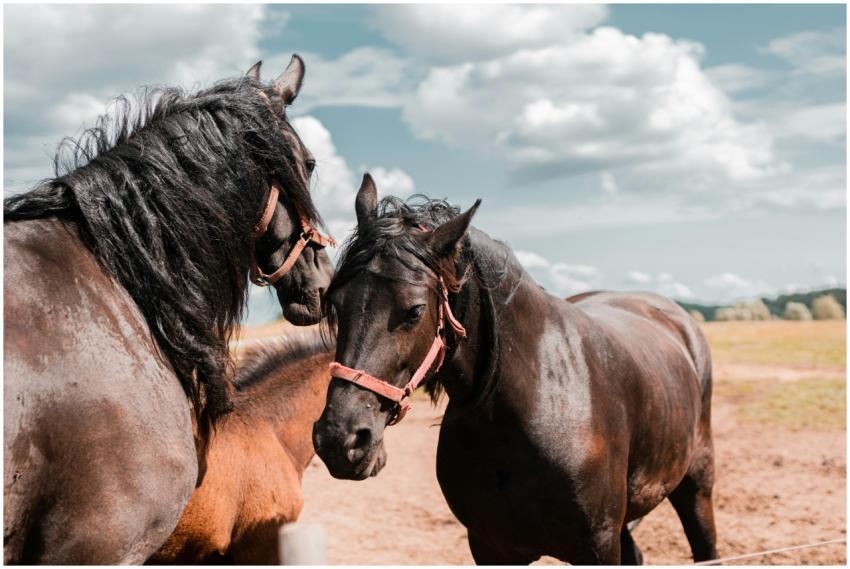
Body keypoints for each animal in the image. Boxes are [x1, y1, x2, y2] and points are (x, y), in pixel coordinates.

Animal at [312, 174, 718, 564]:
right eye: (336, 303)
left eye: (413, 311)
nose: (340, 439)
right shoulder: (491, 548)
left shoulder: (598, 546)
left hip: (696, 486)